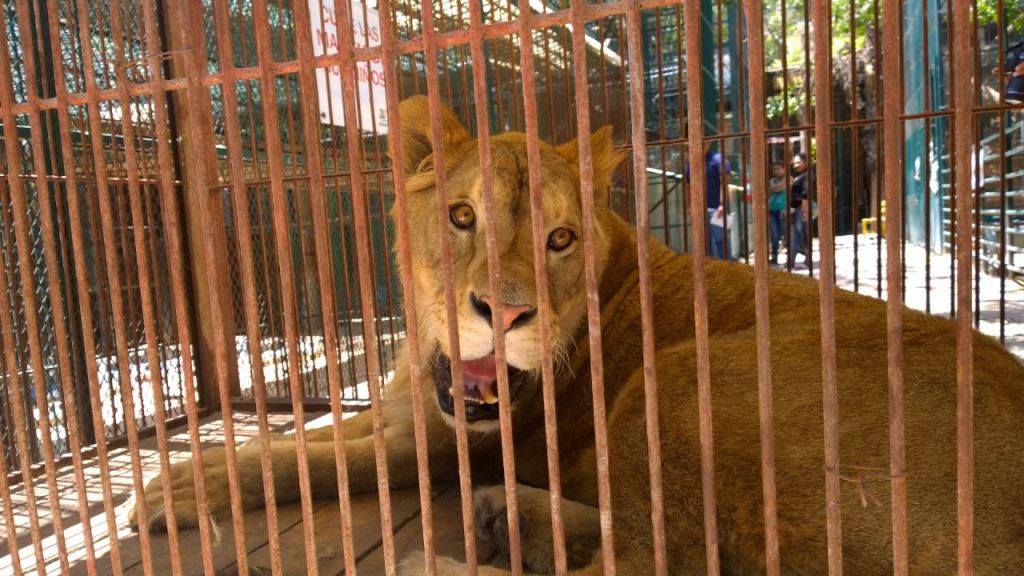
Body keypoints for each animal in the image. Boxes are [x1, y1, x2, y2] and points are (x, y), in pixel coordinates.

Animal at [128, 96, 1024, 569]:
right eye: (462, 217)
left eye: (559, 238)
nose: (506, 313)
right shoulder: (407, 411)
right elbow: (304, 439)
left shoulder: (458, 439)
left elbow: (319, 463)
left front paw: (178, 489)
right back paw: (508, 518)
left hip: (684, 379)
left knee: (657, 562)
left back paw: (435, 555)